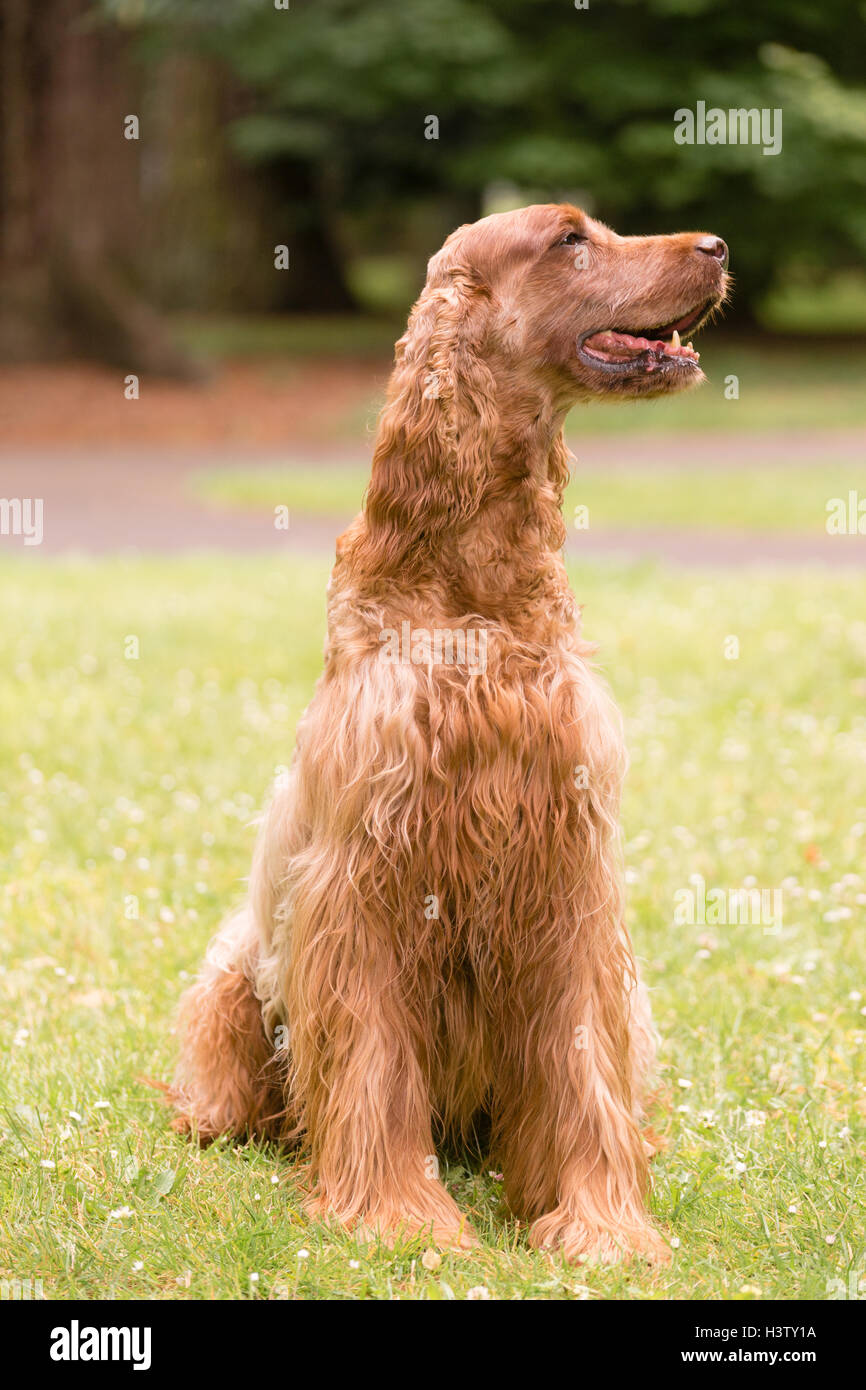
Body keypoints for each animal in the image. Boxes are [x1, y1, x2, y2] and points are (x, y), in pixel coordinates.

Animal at [167, 202, 722, 1262]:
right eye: (570, 239)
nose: (715, 247)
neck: (474, 591)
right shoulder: (363, 882)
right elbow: (374, 1063)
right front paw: (398, 1216)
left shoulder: (565, 871)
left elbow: (581, 1066)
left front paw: (601, 1222)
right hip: (233, 979)